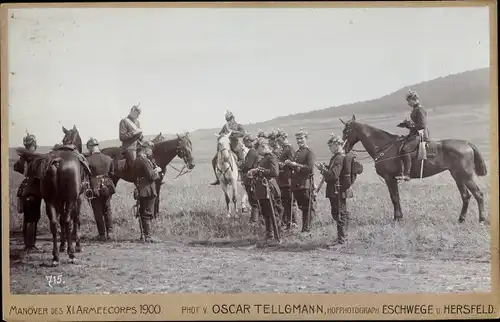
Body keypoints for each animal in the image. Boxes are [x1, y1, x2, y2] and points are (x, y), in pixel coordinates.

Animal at [15, 125, 92, 264]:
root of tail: (57, 161)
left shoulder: (59, 201)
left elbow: (61, 221)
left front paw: (62, 245)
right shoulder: (78, 198)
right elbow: (75, 220)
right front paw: (77, 246)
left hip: (50, 201)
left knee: (54, 223)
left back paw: (56, 255)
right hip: (70, 199)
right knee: (67, 221)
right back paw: (71, 254)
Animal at [340, 115, 488, 224]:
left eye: (346, 131)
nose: (343, 149)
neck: (383, 146)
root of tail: (467, 143)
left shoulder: (389, 178)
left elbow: (394, 197)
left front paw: (397, 218)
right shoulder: (392, 179)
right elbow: (397, 197)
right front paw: (399, 216)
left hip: (466, 177)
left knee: (478, 195)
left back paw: (482, 219)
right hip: (458, 176)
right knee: (466, 196)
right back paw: (461, 219)